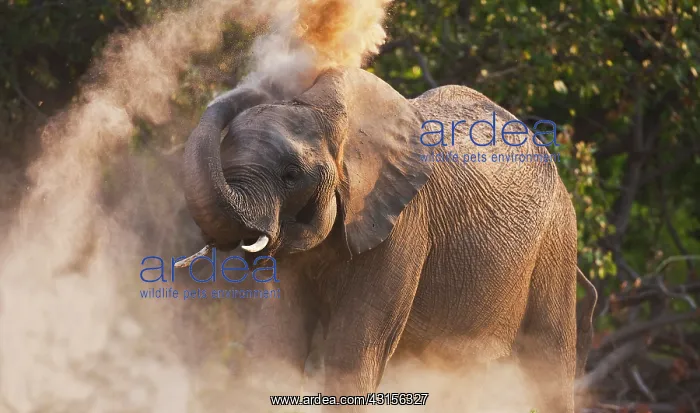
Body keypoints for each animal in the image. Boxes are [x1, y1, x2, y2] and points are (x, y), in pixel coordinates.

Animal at [178, 66, 598, 412]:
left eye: (291, 175)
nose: (254, 87)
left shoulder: (405, 224)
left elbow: (352, 352)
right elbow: (279, 341)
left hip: (557, 239)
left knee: (549, 361)